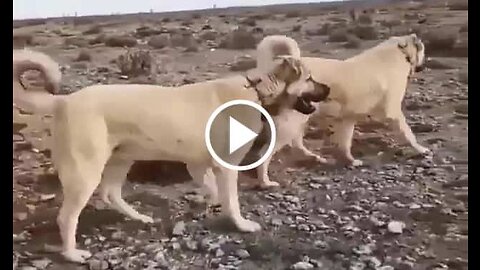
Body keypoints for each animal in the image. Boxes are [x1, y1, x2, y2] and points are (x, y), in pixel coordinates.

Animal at [12, 48, 330, 262]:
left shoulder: (198, 164)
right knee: (67, 217)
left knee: (110, 194)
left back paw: (140, 218)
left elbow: (213, 190)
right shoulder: (226, 166)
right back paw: (72, 254)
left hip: (122, 159)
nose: (327, 89)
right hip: (86, 172)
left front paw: (208, 203)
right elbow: (232, 201)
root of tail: (64, 101)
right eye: (310, 78)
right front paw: (240, 224)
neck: (258, 90)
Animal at [255, 33, 432, 186]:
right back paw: (265, 182)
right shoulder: (393, 113)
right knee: (265, 154)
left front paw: (350, 161)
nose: (424, 65)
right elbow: (409, 134)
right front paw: (421, 149)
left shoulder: (347, 120)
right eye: (423, 48)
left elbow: (345, 144)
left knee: (296, 144)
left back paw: (315, 158)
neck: (400, 52)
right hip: (290, 124)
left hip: (299, 119)